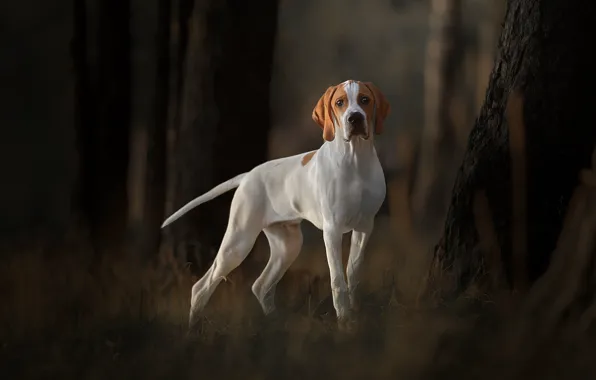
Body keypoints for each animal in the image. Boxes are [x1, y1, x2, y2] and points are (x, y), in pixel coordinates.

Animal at [161, 78, 392, 328]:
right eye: (340, 102)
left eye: (364, 100)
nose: (355, 118)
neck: (355, 159)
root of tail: (248, 175)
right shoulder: (332, 230)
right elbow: (338, 281)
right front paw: (344, 323)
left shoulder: (364, 227)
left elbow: (354, 274)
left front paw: (356, 319)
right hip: (238, 242)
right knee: (200, 287)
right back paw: (192, 330)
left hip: (288, 245)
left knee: (260, 286)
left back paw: (275, 325)